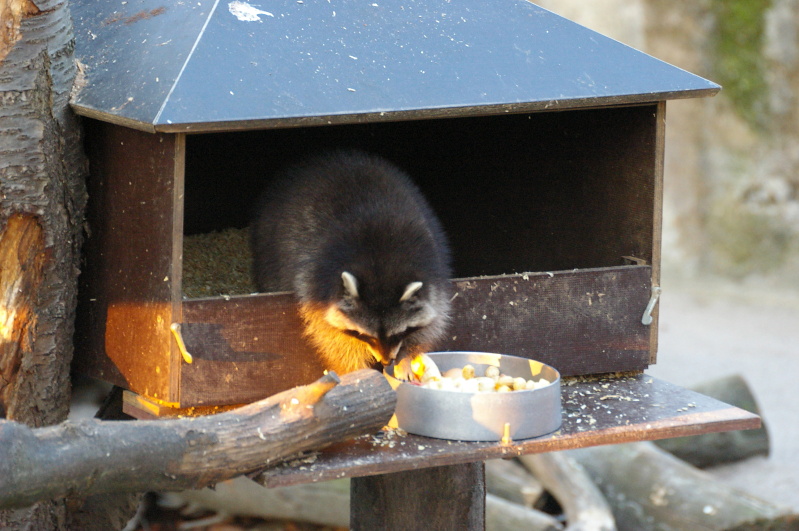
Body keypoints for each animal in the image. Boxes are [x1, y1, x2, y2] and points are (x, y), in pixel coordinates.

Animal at [252, 150, 450, 374]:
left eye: (399, 333)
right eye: (364, 335)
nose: (386, 362)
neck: (381, 263)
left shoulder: (432, 264)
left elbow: (434, 319)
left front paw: (406, 357)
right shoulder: (316, 282)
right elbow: (330, 336)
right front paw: (355, 369)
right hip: (269, 249)